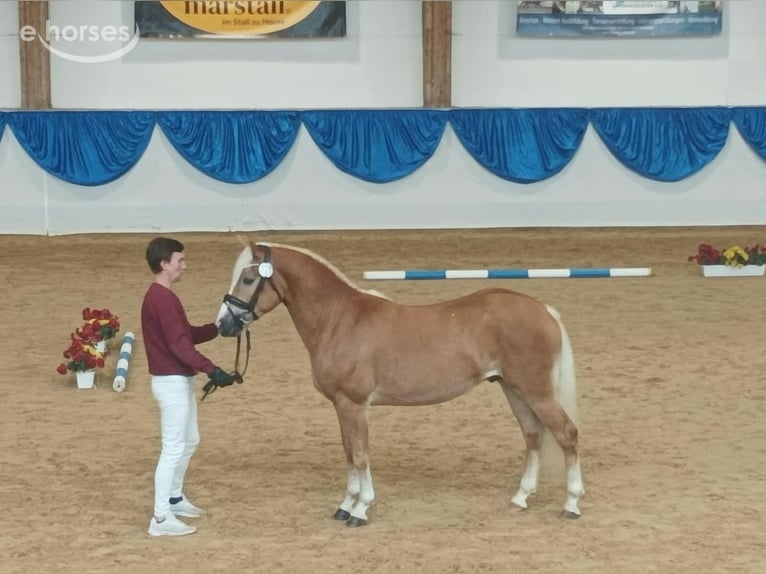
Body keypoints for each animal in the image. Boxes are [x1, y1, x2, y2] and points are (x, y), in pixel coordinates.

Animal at [215, 240, 585, 527]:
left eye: (248, 278)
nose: (223, 324)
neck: (339, 319)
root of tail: (544, 310)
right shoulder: (341, 406)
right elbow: (348, 452)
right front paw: (345, 505)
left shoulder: (355, 404)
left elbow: (361, 455)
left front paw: (361, 509)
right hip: (514, 389)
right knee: (533, 435)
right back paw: (520, 497)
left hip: (536, 391)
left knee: (566, 434)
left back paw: (571, 504)